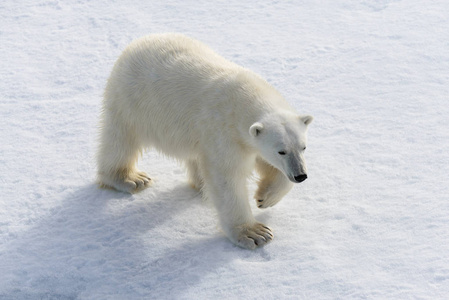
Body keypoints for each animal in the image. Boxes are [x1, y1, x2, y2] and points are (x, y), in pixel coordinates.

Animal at [98, 33, 314, 248]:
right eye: (281, 151)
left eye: (303, 147)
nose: (301, 175)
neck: (243, 97)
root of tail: (138, 42)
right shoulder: (224, 133)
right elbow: (227, 178)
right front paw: (255, 233)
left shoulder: (246, 141)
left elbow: (267, 165)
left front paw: (265, 198)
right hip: (132, 102)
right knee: (121, 140)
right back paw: (130, 178)